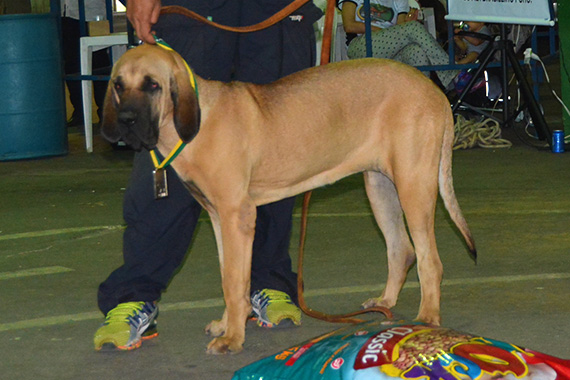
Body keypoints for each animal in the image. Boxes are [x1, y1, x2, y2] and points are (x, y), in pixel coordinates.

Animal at [102, 43, 474, 354]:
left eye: (152, 85)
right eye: (118, 85)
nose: (126, 121)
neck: (197, 123)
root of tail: (434, 90)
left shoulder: (237, 215)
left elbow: (234, 280)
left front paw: (233, 337)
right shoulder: (219, 218)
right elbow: (228, 276)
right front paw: (227, 325)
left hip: (414, 185)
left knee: (429, 260)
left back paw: (428, 318)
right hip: (380, 187)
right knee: (402, 250)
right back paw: (385, 301)